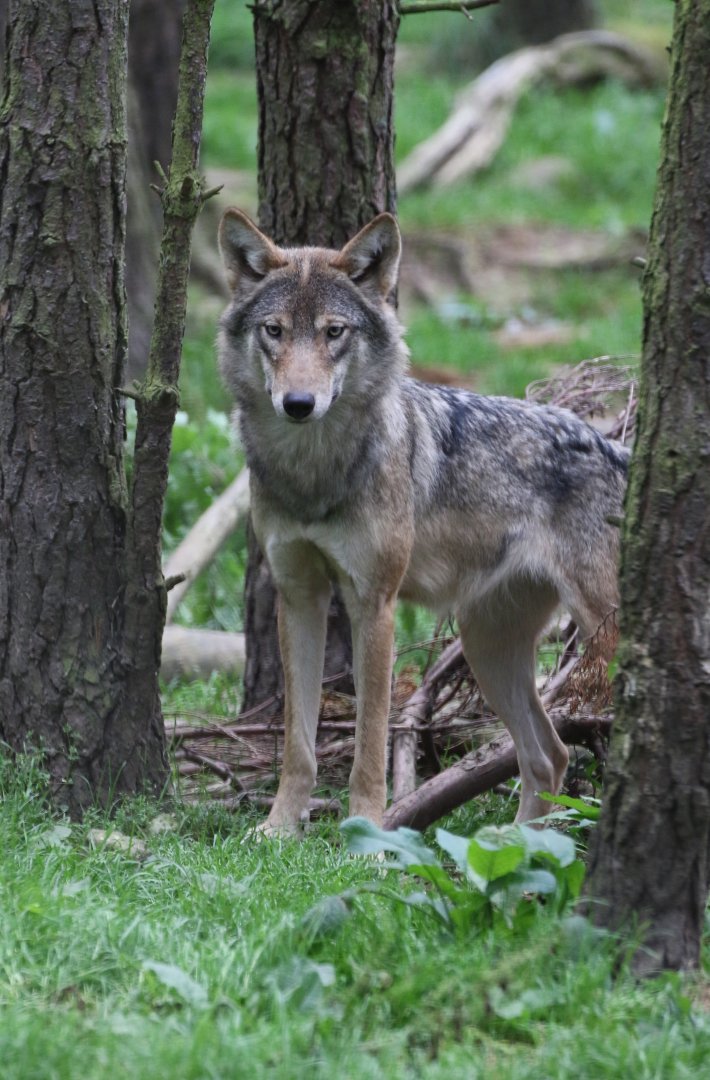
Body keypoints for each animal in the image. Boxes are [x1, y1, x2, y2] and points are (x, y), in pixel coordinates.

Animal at [217, 208, 628, 834]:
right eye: (275, 331)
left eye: (334, 332)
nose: (299, 403)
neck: (314, 473)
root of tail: (619, 450)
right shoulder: (299, 595)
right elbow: (297, 743)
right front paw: (280, 828)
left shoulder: (374, 602)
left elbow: (370, 741)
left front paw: (366, 829)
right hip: (488, 647)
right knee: (550, 755)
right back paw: (522, 848)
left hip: (596, 634)